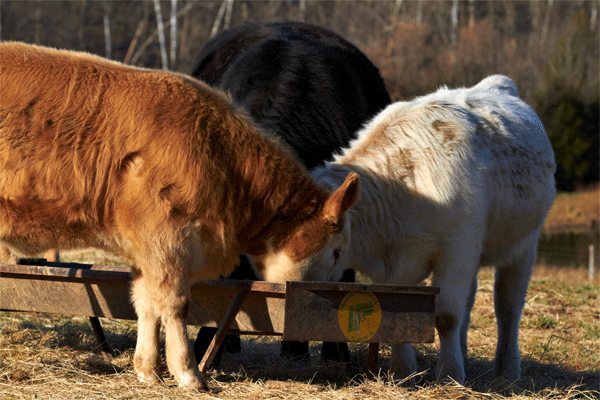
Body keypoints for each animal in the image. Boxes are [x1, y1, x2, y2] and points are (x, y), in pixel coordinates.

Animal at [0, 42, 358, 390]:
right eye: (337, 252)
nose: (338, 295)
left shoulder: (146, 249)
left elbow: (146, 300)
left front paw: (148, 369)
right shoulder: (164, 236)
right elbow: (175, 303)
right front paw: (188, 373)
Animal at [314, 75, 556, 384]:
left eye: (334, 252)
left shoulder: (458, 248)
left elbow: (447, 316)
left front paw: (449, 374)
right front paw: (402, 371)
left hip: (523, 245)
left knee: (508, 305)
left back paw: (508, 369)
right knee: (470, 299)